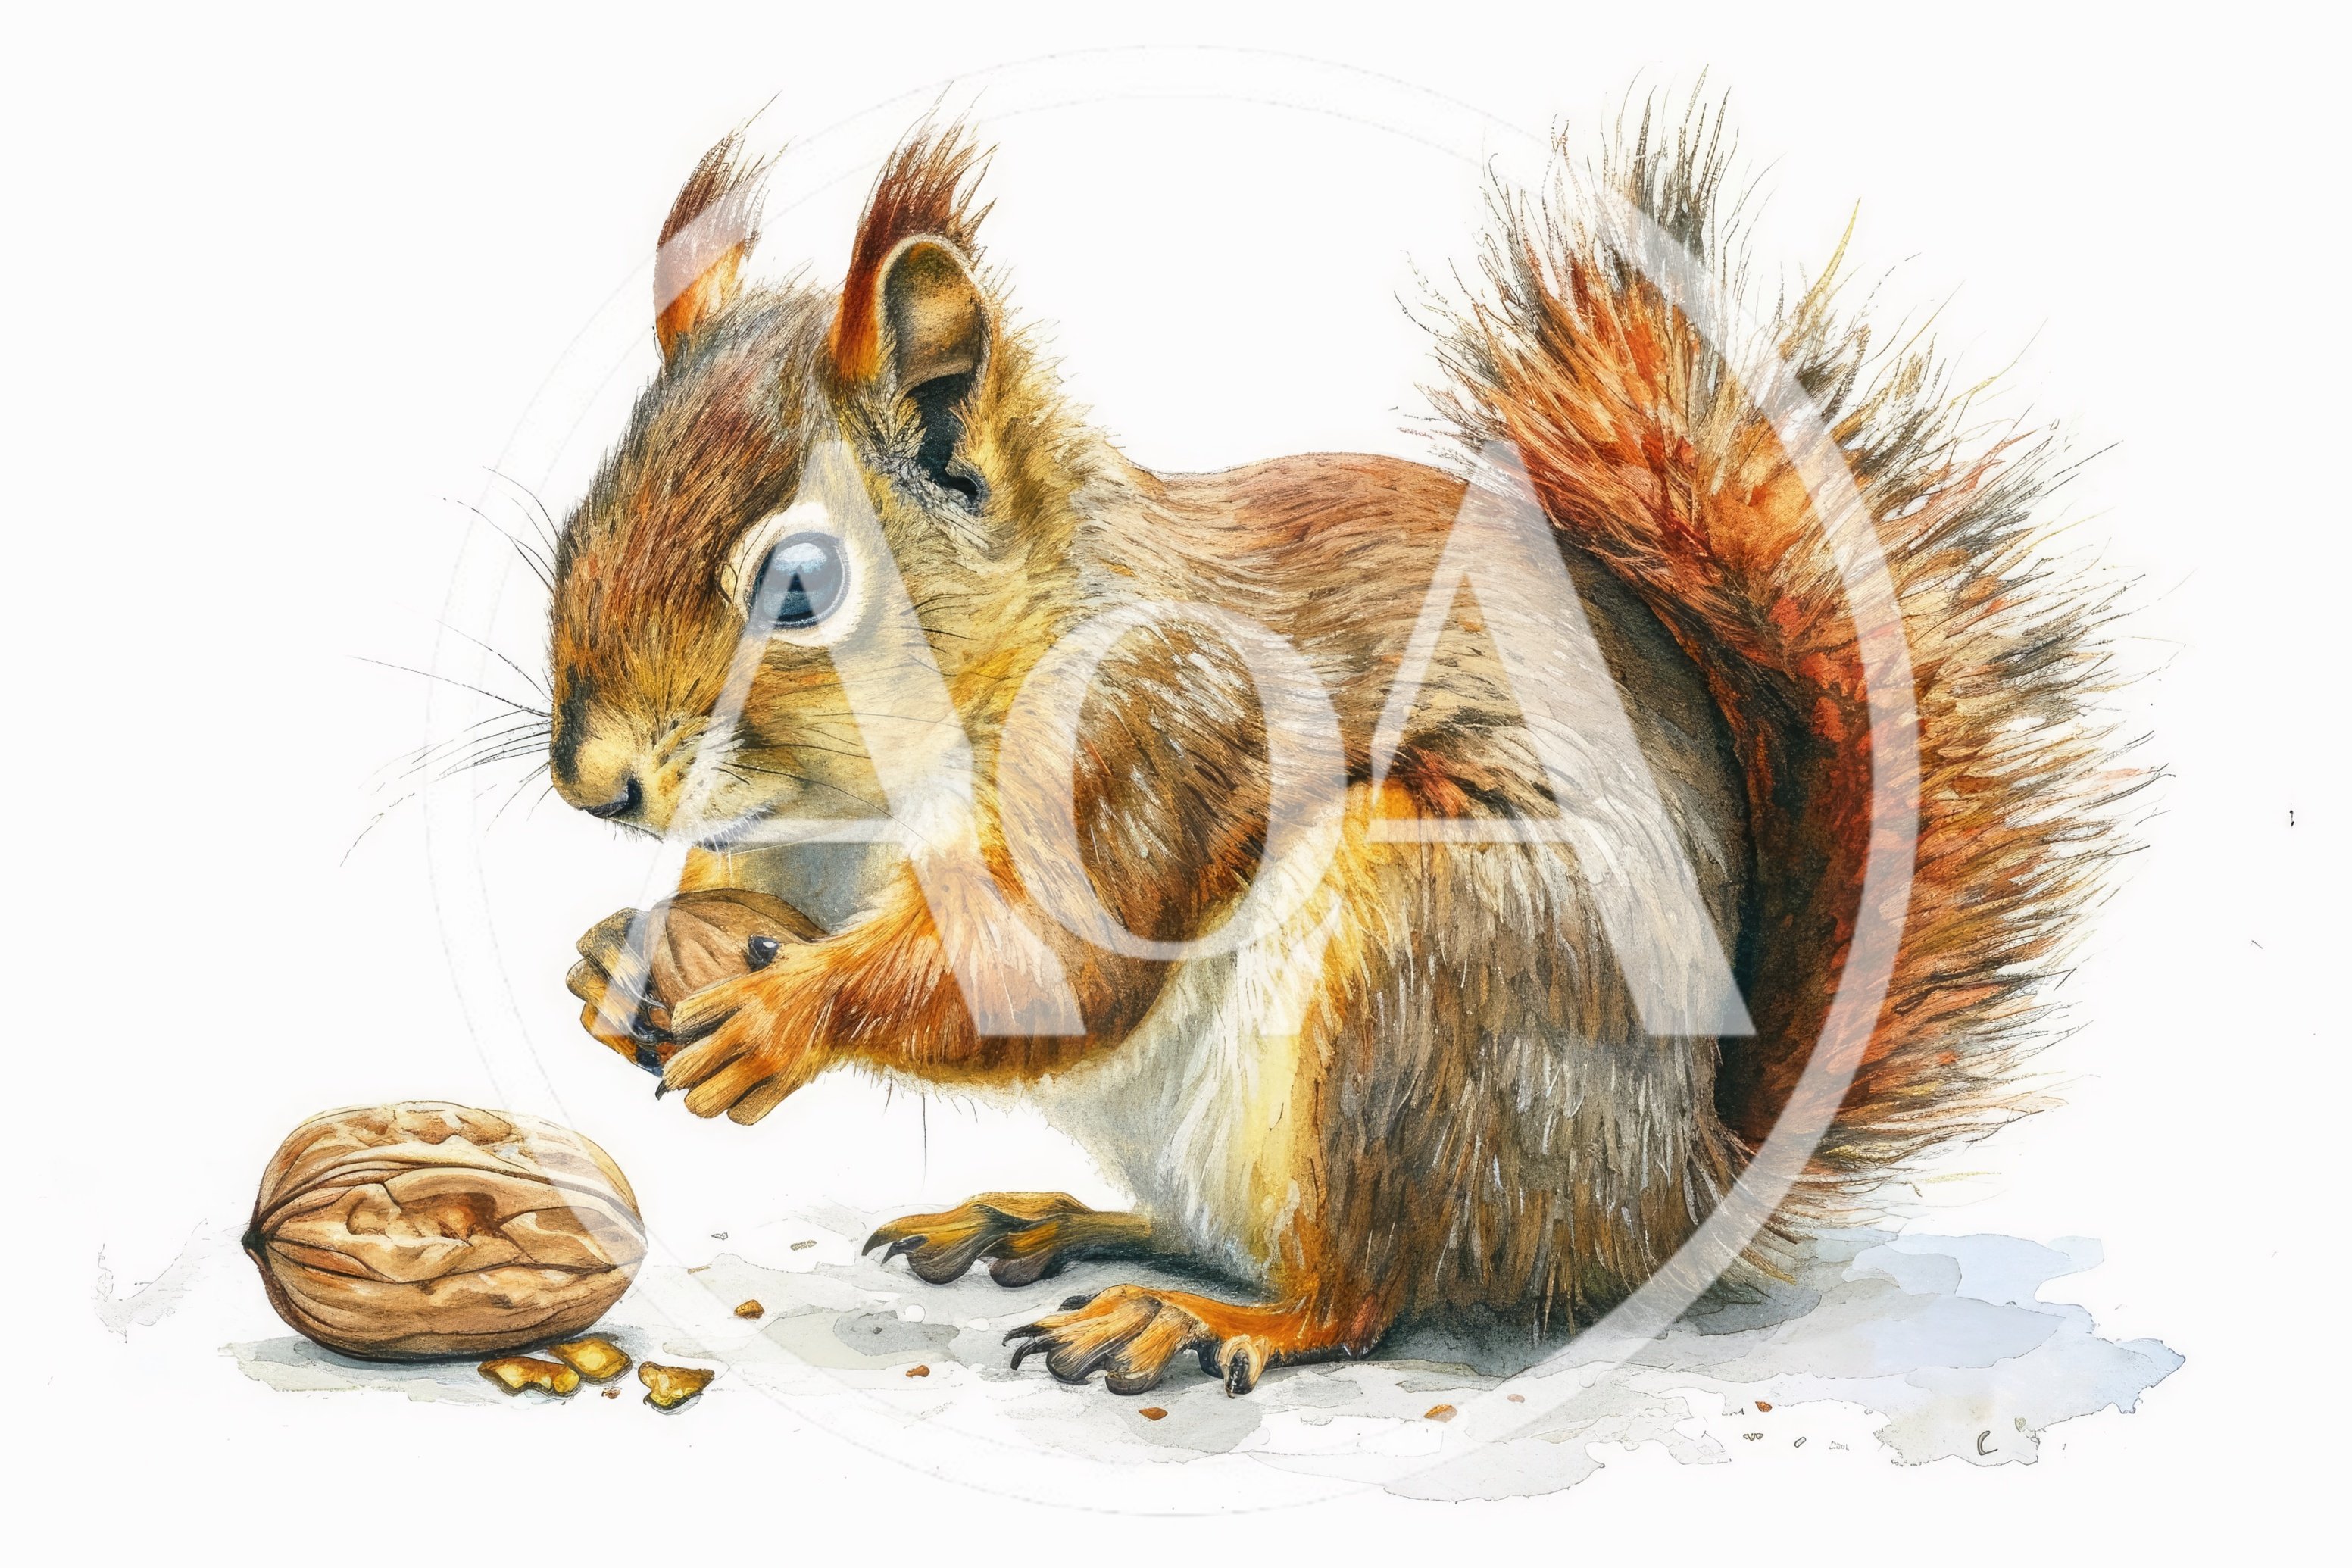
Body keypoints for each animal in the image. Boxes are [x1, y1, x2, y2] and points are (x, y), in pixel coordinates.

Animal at [548, 103, 2124, 1397]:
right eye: (580, 520)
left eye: (799, 586)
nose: (594, 783)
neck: (871, 795)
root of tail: (1680, 1190)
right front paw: (627, 953)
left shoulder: (1149, 736)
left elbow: (1052, 968)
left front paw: (778, 1015)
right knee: (1224, 1232)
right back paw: (1047, 1221)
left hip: (1424, 972)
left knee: (1362, 1291)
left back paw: (1197, 1324)